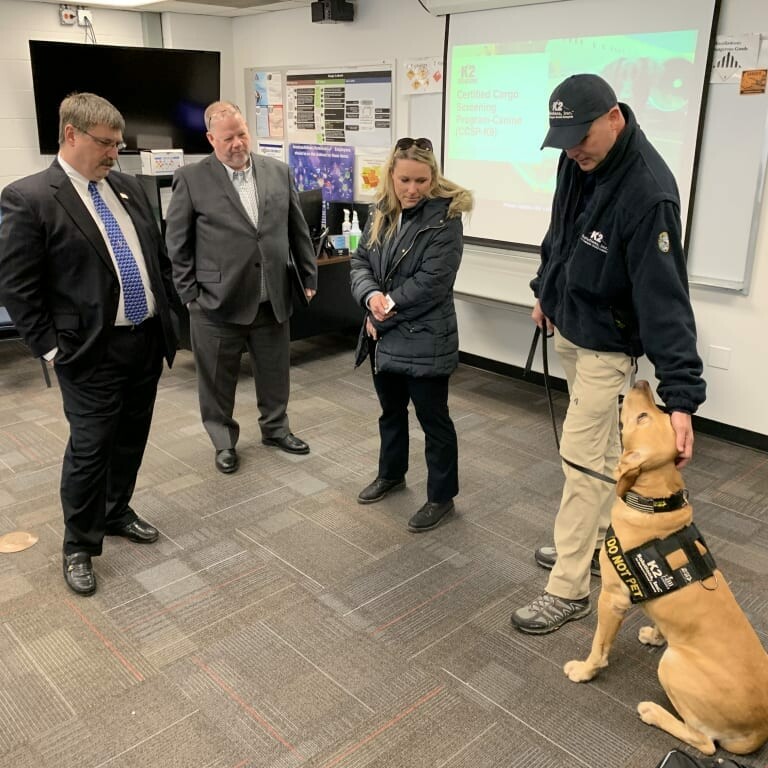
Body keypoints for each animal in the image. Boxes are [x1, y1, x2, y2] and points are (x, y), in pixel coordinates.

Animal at [564, 380, 768, 752]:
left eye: (643, 417)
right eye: (660, 414)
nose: (642, 382)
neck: (654, 503)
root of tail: (761, 729)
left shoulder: (612, 599)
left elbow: (599, 646)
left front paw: (585, 671)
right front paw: (657, 634)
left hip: (672, 667)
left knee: (704, 742)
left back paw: (654, 712)